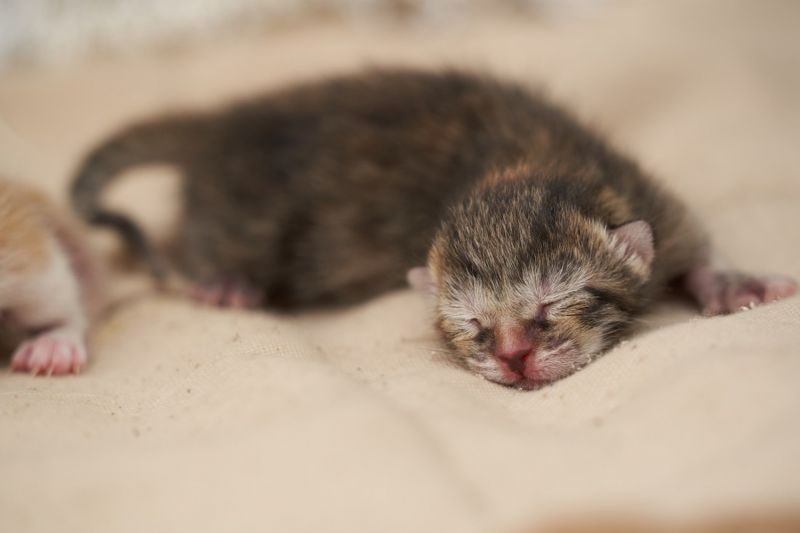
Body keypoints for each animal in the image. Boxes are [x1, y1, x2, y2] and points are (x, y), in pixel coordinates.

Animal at [69, 68, 792, 388]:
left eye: (551, 303)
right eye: (472, 323)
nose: (513, 356)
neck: (524, 163)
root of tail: (219, 127)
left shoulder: (647, 193)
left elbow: (694, 245)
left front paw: (731, 284)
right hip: (244, 222)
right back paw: (221, 282)